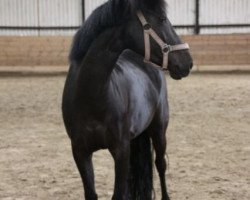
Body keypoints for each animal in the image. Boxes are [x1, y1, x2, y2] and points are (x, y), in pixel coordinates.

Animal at [61, 0, 192, 200]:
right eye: (162, 19)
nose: (188, 62)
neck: (91, 97)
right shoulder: (80, 152)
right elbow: (91, 193)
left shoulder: (120, 150)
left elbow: (118, 193)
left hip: (159, 129)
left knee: (160, 165)